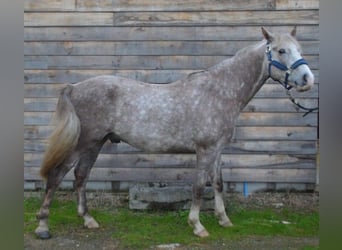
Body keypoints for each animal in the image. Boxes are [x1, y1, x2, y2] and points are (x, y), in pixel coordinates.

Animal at [34, 26, 312, 238]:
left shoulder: (218, 150)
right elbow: (199, 186)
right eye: (281, 50)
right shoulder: (205, 150)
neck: (220, 91)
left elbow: (218, 183)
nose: (307, 79)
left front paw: (223, 220)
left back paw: (88, 220)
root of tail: (74, 87)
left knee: (81, 176)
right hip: (82, 143)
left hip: (95, 143)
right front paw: (197, 226)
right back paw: (43, 226)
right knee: (57, 176)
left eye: (299, 49)